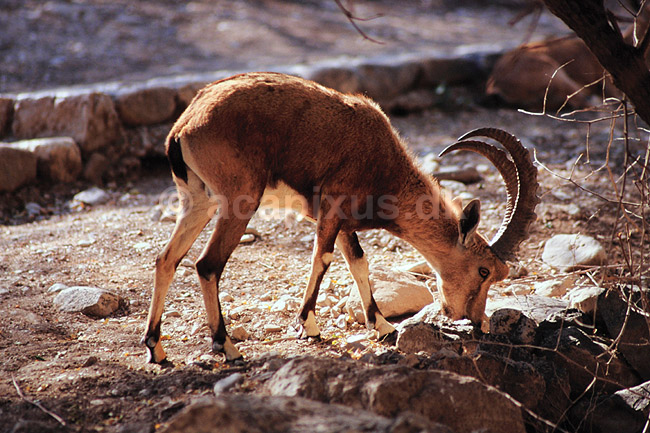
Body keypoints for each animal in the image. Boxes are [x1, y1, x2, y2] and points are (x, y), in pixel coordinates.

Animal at [142, 72, 539, 363]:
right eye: (484, 271)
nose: (472, 320)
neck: (383, 167)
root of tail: (184, 127)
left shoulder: (344, 222)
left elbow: (358, 261)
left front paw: (383, 326)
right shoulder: (331, 210)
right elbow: (324, 258)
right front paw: (309, 325)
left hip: (197, 201)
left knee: (166, 259)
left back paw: (157, 349)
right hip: (238, 200)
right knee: (207, 264)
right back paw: (226, 346)